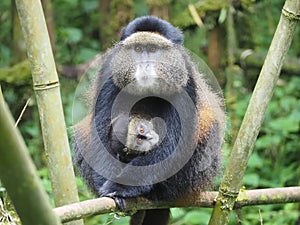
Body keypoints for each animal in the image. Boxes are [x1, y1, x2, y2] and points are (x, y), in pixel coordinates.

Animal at [74, 16, 225, 225]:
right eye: (138, 49)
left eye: (153, 49)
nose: (145, 63)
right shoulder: (109, 73)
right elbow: (100, 130)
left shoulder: (185, 80)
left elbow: (176, 144)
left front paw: (120, 188)